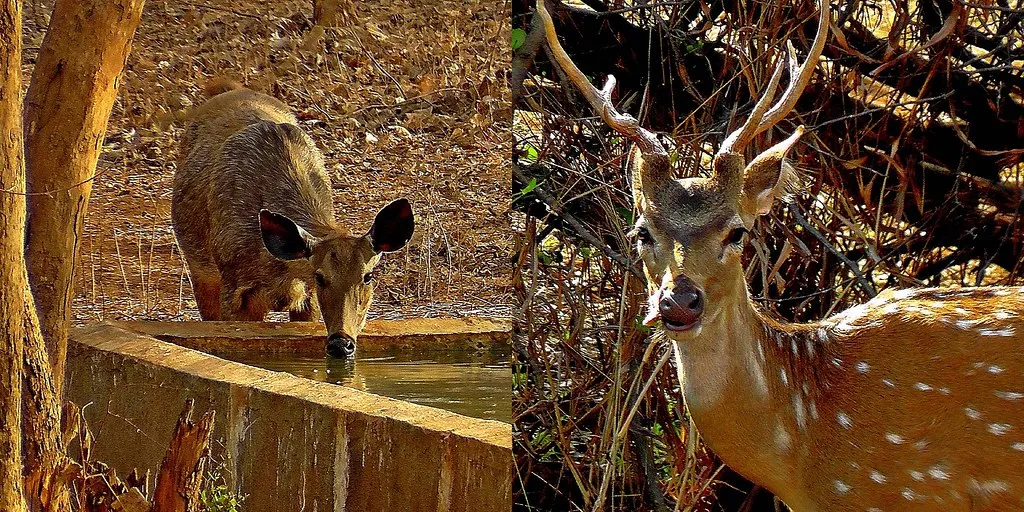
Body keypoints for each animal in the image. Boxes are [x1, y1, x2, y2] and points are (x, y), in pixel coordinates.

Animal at [171, 80, 411, 360]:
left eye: (368, 276)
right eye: (320, 276)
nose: (341, 344)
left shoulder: (307, 299)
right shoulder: (234, 287)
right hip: (201, 269)